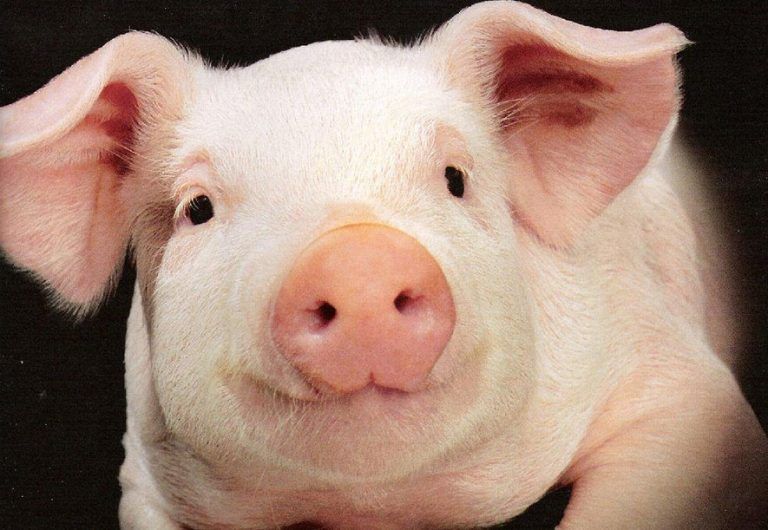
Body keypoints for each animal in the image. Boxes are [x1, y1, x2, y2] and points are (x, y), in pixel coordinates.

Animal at [1, 1, 766, 528]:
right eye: (198, 209)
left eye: (456, 178)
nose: (357, 258)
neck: (381, 509)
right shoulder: (147, 475)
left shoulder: (672, 376)